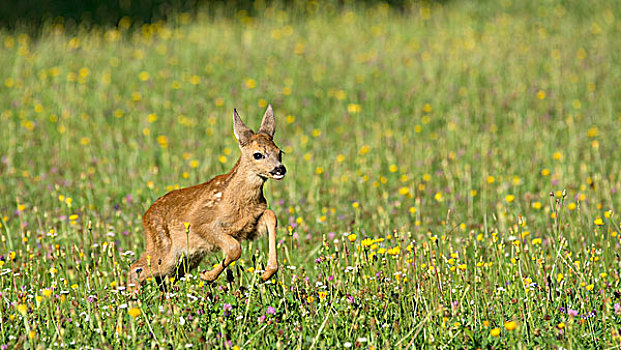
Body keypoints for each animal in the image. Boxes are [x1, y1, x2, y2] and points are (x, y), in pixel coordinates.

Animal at [131, 105, 286, 288]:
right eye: (258, 154)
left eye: (280, 152)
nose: (280, 169)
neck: (237, 199)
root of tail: (145, 217)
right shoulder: (202, 224)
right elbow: (234, 249)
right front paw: (207, 276)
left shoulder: (248, 227)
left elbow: (271, 215)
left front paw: (266, 274)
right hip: (165, 251)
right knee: (137, 268)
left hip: (185, 259)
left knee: (164, 278)